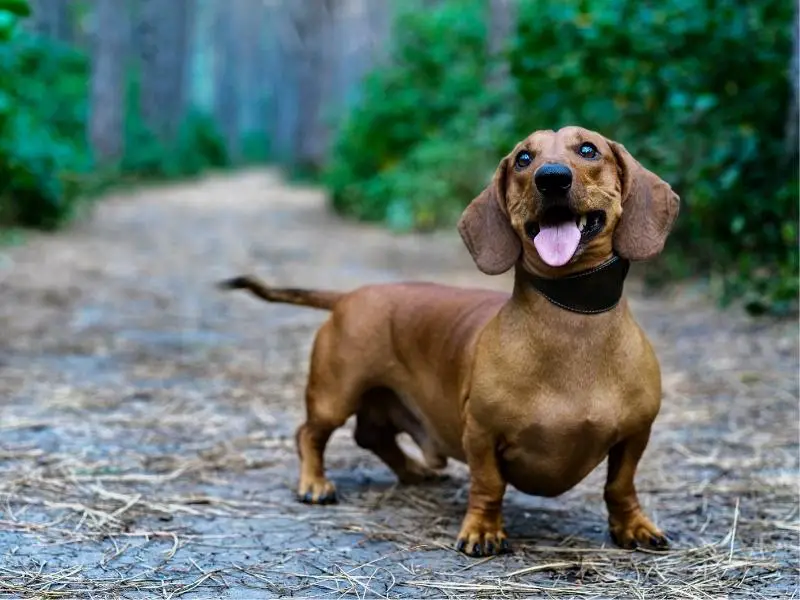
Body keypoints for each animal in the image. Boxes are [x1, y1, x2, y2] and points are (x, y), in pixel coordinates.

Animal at [220, 126, 680, 556]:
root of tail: (349, 295)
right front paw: (483, 530)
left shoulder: (636, 434)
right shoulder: (480, 432)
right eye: (523, 158)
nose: (551, 178)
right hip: (335, 394)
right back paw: (315, 483)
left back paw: (413, 471)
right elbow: (489, 485)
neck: (572, 317)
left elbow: (620, 485)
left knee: (372, 436)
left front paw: (633, 527)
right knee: (309, 434)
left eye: (588, 149)